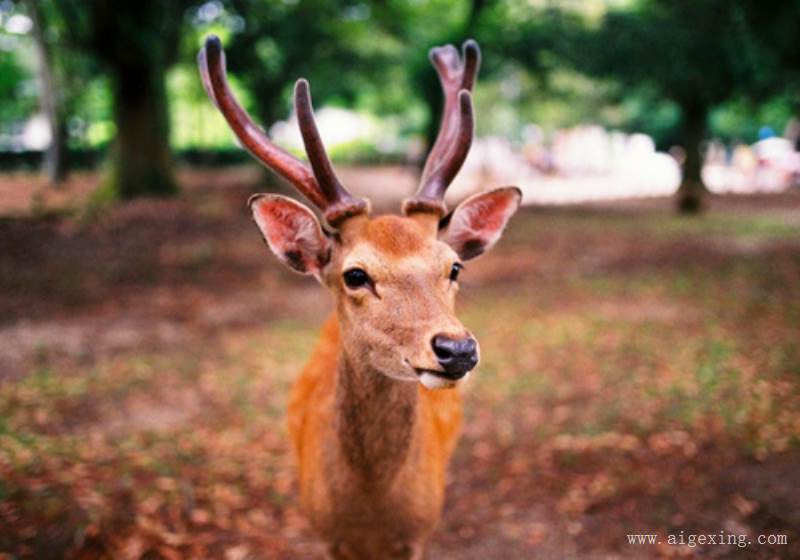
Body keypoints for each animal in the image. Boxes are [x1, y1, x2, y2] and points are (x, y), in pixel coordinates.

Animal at [199, 36, 520, 560]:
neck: (371, 512)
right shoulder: (327, 531)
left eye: (454, 266)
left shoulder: (419, 531)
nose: (456, 349)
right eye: (355, 274)